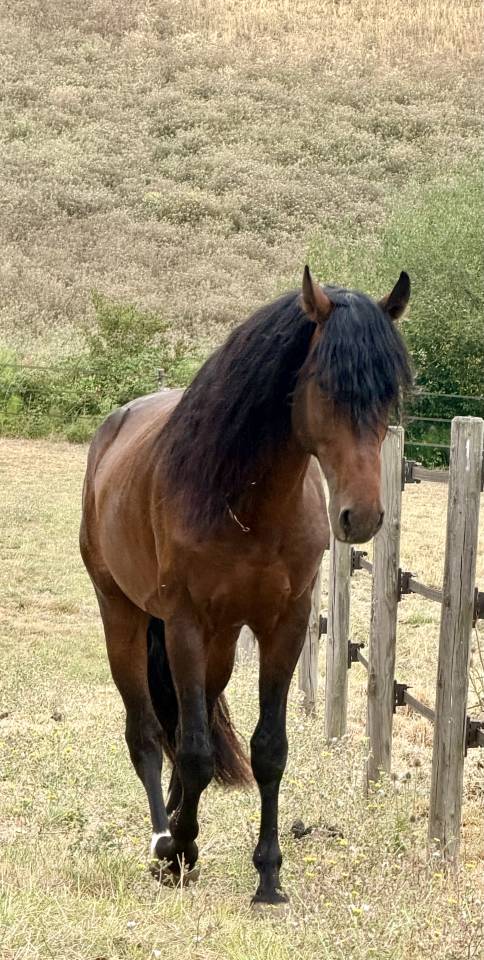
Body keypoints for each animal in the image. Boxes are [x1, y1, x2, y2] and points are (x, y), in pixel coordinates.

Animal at [80, 266, 411, 905]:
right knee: (149, 735)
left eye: (390, 393)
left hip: (223, 642)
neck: (246, 505)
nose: (361, 517)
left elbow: (267, 749)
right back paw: (163, 838)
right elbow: (193, 752)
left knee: (190, 722)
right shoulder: (183, 624)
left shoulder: (284, 625)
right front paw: (179, 852)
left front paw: (268, 875)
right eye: (326, 386)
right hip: (124, 616)